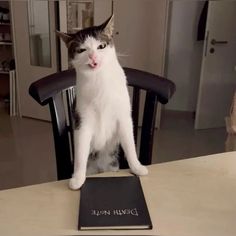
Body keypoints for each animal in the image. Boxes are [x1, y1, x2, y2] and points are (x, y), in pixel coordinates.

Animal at [56, 15, 148, 190]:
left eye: (101, 46)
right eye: (81, 50)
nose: (93, 57)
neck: (99, 80)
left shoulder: (123, 116)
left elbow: (130, 144)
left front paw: (137, 167)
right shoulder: (82, 120)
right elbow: (81, 152)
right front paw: (78, 178)